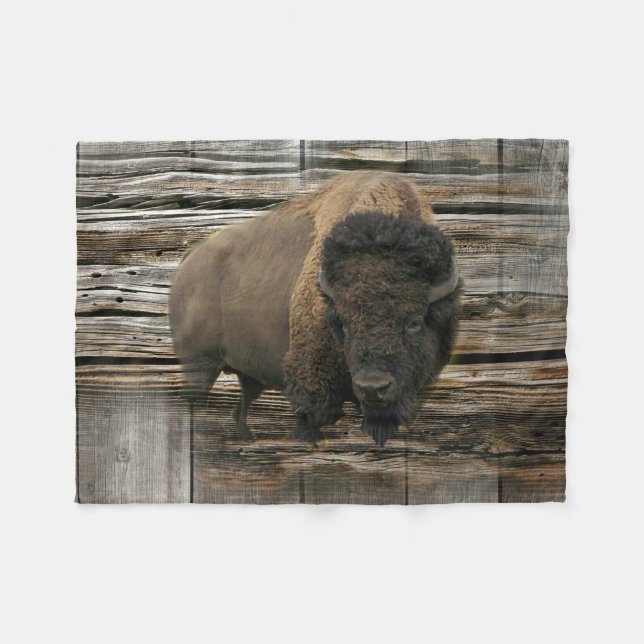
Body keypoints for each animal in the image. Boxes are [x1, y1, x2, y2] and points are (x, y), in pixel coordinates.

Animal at [169, 171, 461, 446]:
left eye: (414, 322)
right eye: (342, 322)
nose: (372, 387)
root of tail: (188, 261)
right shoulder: (311, 382)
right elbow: (310, 418)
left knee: (240, 407)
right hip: (199, 365)